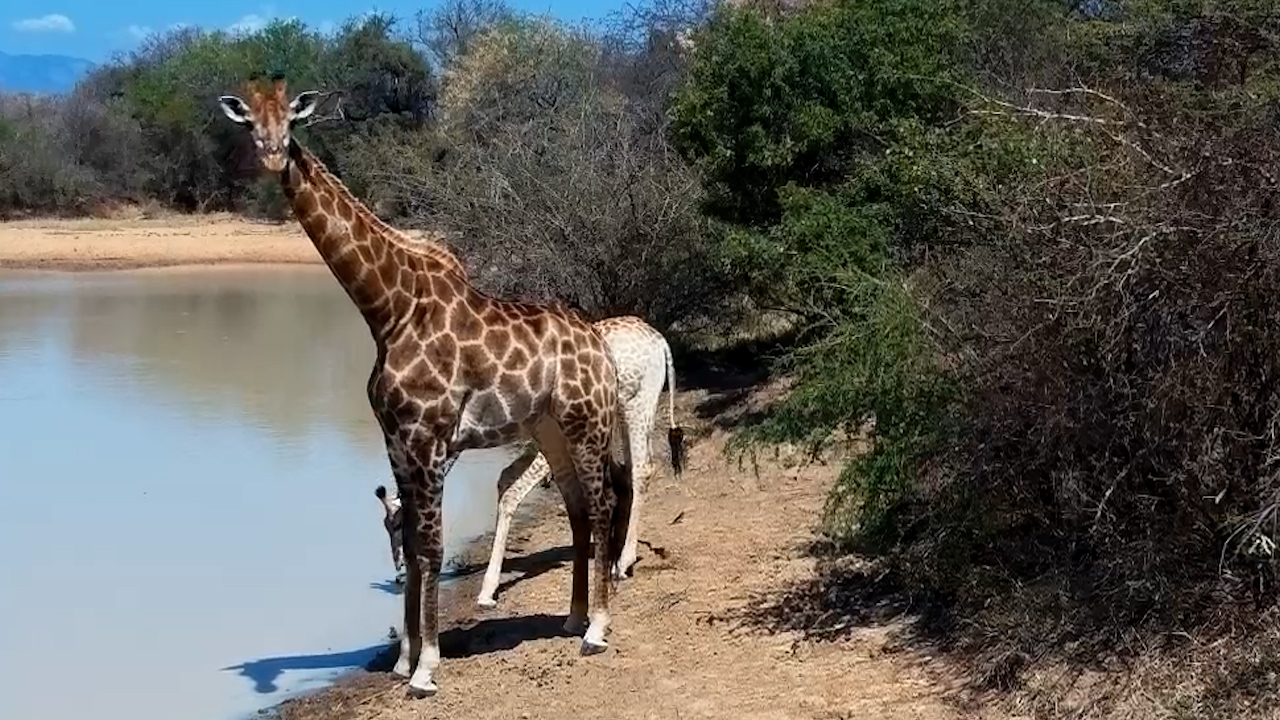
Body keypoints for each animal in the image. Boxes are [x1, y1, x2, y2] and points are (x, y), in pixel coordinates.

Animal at [218, 77, 634, 698]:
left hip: (587, 420)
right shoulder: (396, 442)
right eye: (249, 122)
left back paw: (599, 629)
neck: (387, 310)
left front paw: (427, 667)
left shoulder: (429, 439)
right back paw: (573, 617)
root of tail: (598, 344)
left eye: (291, 119)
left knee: (604, 501)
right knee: (578, 507)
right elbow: (412, 546)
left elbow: (433, 548)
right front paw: (402, 659)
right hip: (549, 428)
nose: (272, 155)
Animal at [375, 315, 686, 606]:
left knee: (642, 469)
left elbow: (512, 492)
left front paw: (487, 591)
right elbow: (505, 481)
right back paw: (617, 557)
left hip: (637, 404)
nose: (399, 573)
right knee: (628, 471)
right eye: (386, 527)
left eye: (398, 525)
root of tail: (659, 340)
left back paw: (625, 561)